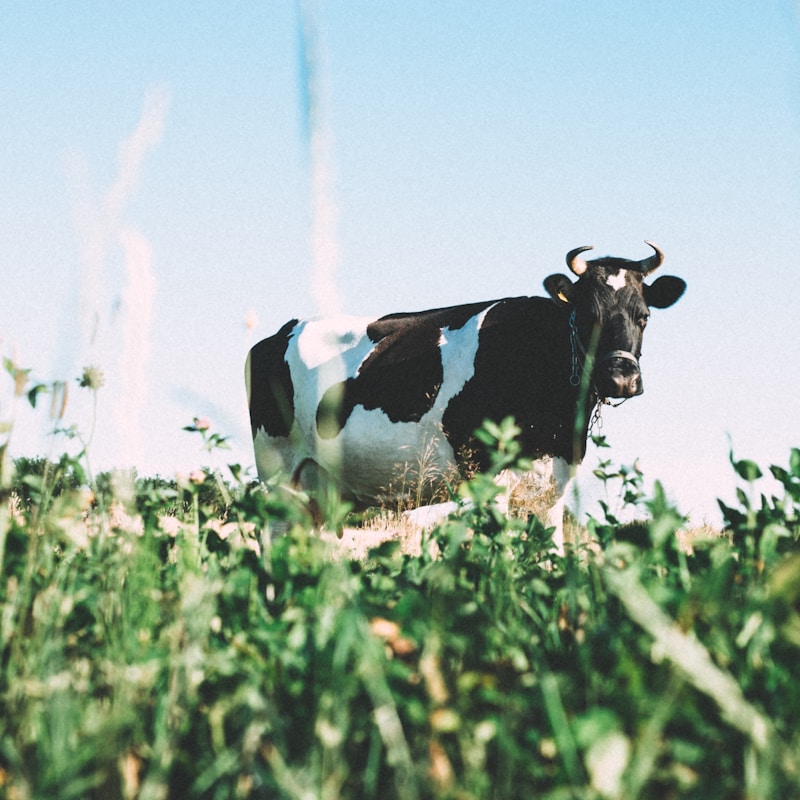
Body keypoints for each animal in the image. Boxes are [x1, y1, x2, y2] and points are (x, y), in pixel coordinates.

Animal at [246, 242, 686, 551]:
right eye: (588, 315)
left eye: (644, 316)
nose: (621, 378)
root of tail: (279, 333)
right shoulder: (489, 473)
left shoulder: (555, 483)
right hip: (278, 473)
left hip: (321, 491)